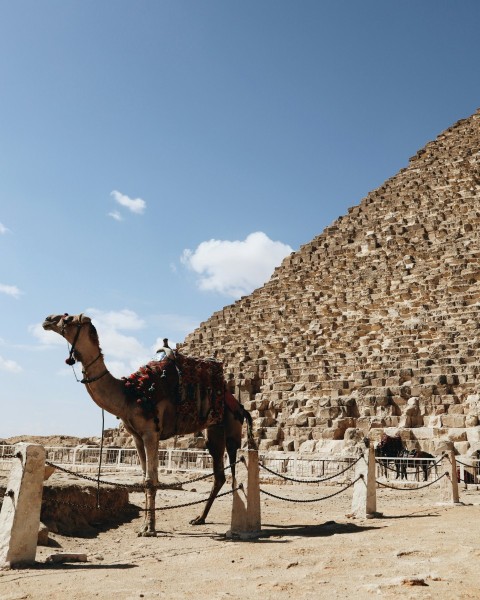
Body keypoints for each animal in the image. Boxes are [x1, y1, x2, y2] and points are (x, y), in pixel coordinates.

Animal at [43, 312, 256, 536]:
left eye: (67, 319)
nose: (47, 319)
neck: (130, 394)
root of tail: (239, 404)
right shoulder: (136, 436)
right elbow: (145, 477)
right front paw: (147, 524)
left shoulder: (151, 432)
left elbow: (151, 479)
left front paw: (149, 528)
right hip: (214, 429)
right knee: (219, 474)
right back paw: (199, 518)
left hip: (232, 426)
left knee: (234, 470)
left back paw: (235, 523)